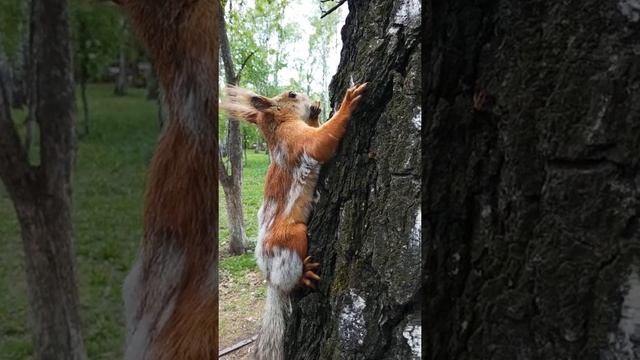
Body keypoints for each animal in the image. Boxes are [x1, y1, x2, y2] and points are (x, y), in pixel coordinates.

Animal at [221, 82, 368, 360]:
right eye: (291, 95)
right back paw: (304, 276)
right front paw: (347, 103)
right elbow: (321, 141)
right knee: (289, 281)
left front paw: (316, 112)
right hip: (293, 237)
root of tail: (269, 275)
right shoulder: (297, 140)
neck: (279, 126)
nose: (308, 99)